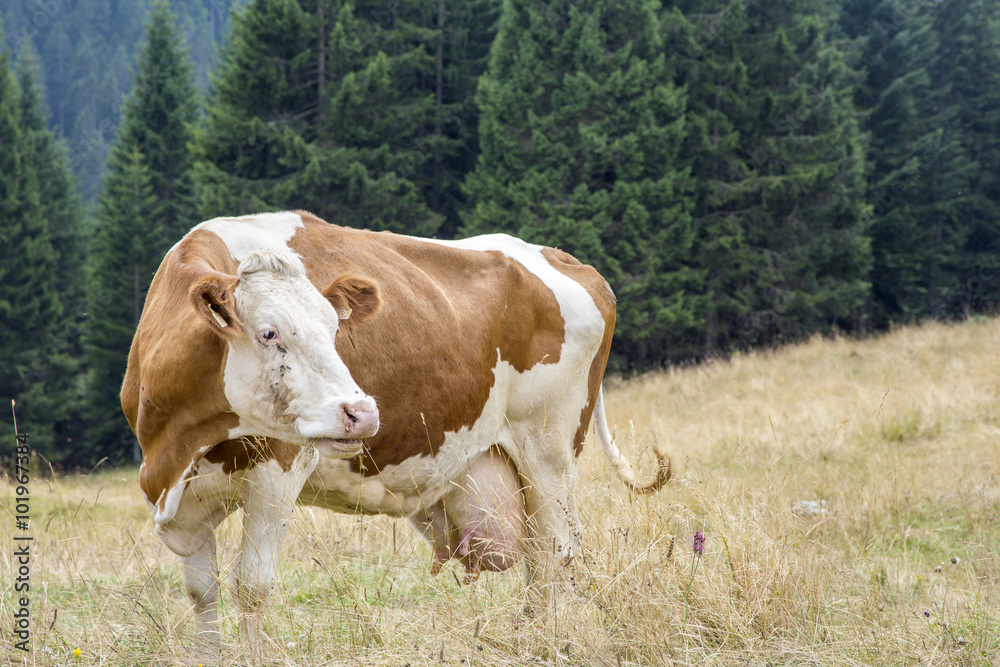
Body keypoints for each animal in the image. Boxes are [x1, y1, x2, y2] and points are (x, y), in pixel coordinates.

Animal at [121, 211, 669, 660]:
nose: (362, 412)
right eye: (268, 332)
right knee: (539, 557)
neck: (181, 446)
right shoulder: (182, 500)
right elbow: (202, 593)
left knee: (554, 553)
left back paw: (548, 643)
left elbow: (252, 587)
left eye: (334, 329)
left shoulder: (279, 473)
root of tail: (559, 257)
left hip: (550, 446)